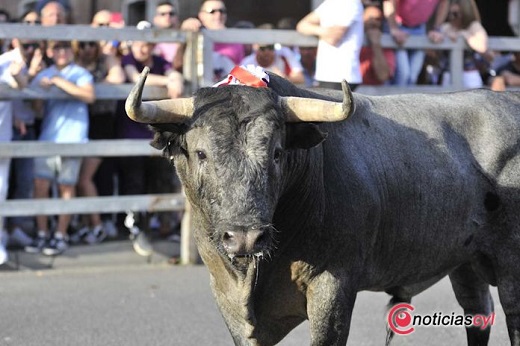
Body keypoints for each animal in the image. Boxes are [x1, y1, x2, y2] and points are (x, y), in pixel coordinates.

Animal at [127, 67, 520, 346]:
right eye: (201, 153)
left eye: (277, 153)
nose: (245, 237)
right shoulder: (225, 294)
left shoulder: (333, 286)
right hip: (465, 262)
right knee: (478, 315)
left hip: (510, 270)